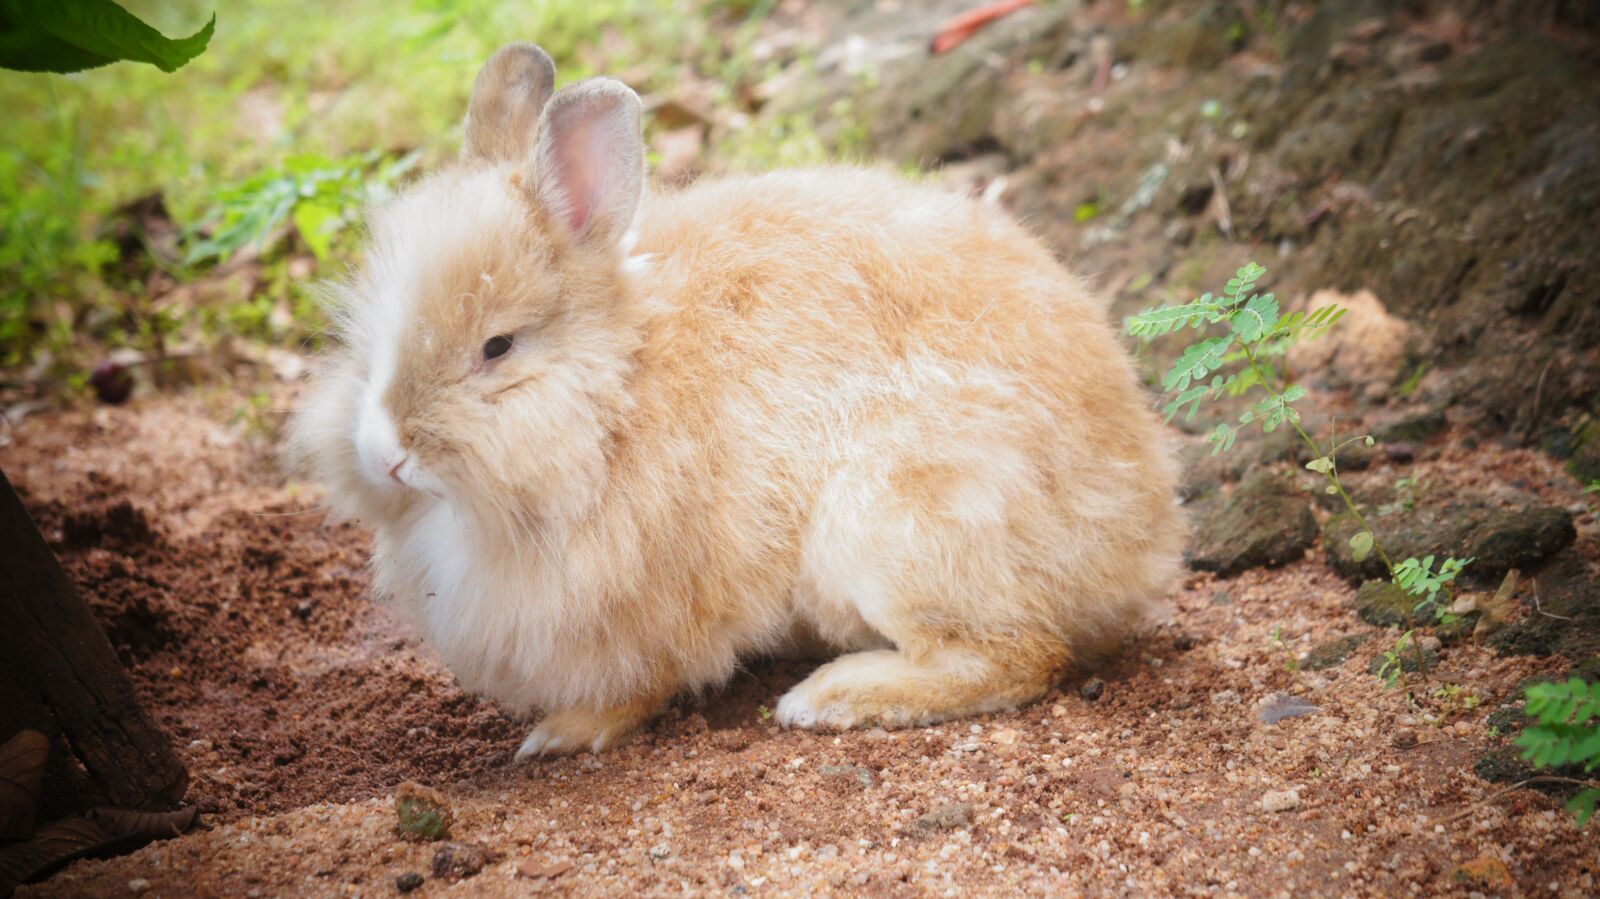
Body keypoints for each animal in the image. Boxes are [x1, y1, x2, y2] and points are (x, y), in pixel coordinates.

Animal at [288, 41, 1190, 755]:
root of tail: (1144, 537)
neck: (617, 389)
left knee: (1019, 654)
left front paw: (560, 735)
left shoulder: (646, 607)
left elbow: (638, 685)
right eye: (365, 340)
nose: (384, 453)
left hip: (896, 520)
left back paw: (831, 695)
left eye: (497, 347)